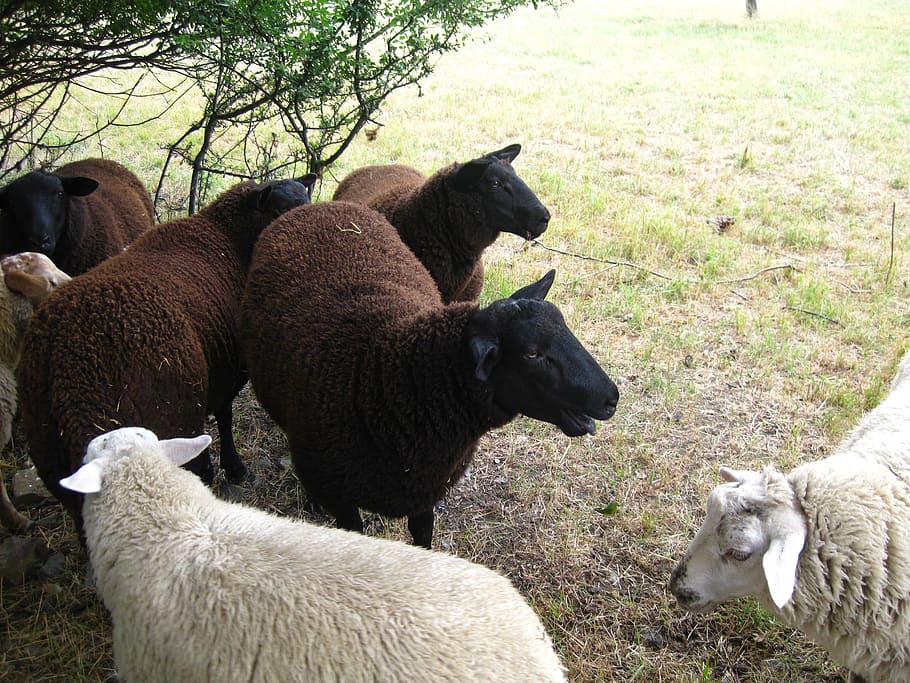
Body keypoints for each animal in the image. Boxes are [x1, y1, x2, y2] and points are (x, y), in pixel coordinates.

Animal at [17, 175, 316, 539]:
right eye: (279, 212)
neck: (230, 239)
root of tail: (68, 364)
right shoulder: (227, 367)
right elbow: (225, 415)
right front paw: (234, 468)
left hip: (50, 454)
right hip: (170, 412)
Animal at [240, 201, 619, 548]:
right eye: (532, 353)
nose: (612, 398)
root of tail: (318, 204)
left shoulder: (426, 492)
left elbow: (423, 538)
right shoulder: (343, 499)